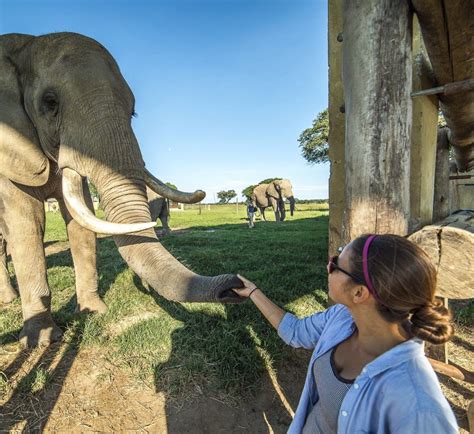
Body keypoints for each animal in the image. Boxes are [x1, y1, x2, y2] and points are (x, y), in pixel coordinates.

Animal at [0, 32, 243, 348]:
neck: (25, 45)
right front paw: (42, 340)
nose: (236, 285)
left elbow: (80, 222)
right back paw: (8, 300)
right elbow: (27, 224)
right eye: (49, 103)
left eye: (133, 111)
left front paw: (94, 312)